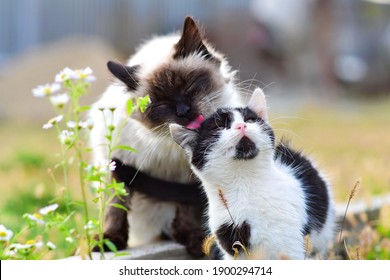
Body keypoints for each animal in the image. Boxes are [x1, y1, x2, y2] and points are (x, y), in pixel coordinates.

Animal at [90, 15, 245, 256]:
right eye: (160, 104)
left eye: (189, 86)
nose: (183, 111)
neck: (170, 145)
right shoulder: (118, 164)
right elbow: (116, 207)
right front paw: (109, 241)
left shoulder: (190, 174)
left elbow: (189, 207)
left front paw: (193, 239)